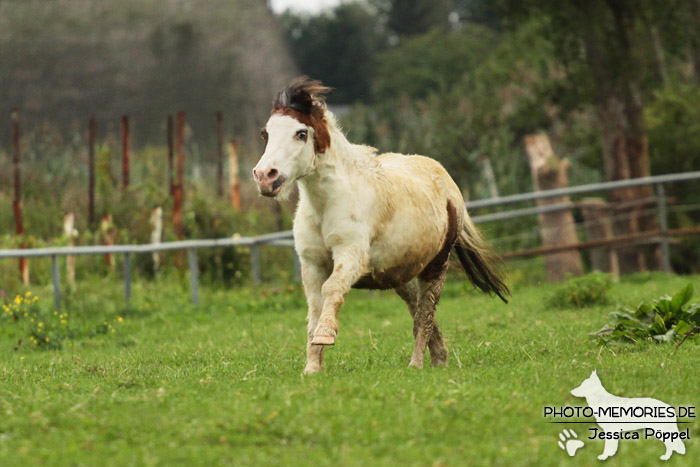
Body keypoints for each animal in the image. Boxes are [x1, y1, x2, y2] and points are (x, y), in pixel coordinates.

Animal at [253, 77, 508, 376]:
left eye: (301, 133)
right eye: (265, 134)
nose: (265, 177)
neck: (327, 203)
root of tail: (445, 180)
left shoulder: (351, 255)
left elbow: (332, 289)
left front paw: (325, 336)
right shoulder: (311, 263)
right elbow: (314, 309)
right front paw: (312, 368)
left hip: (436, 267)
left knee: (424, 314)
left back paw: (416, 364)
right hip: (402, 275)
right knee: (419, 311)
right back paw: (439, 359)